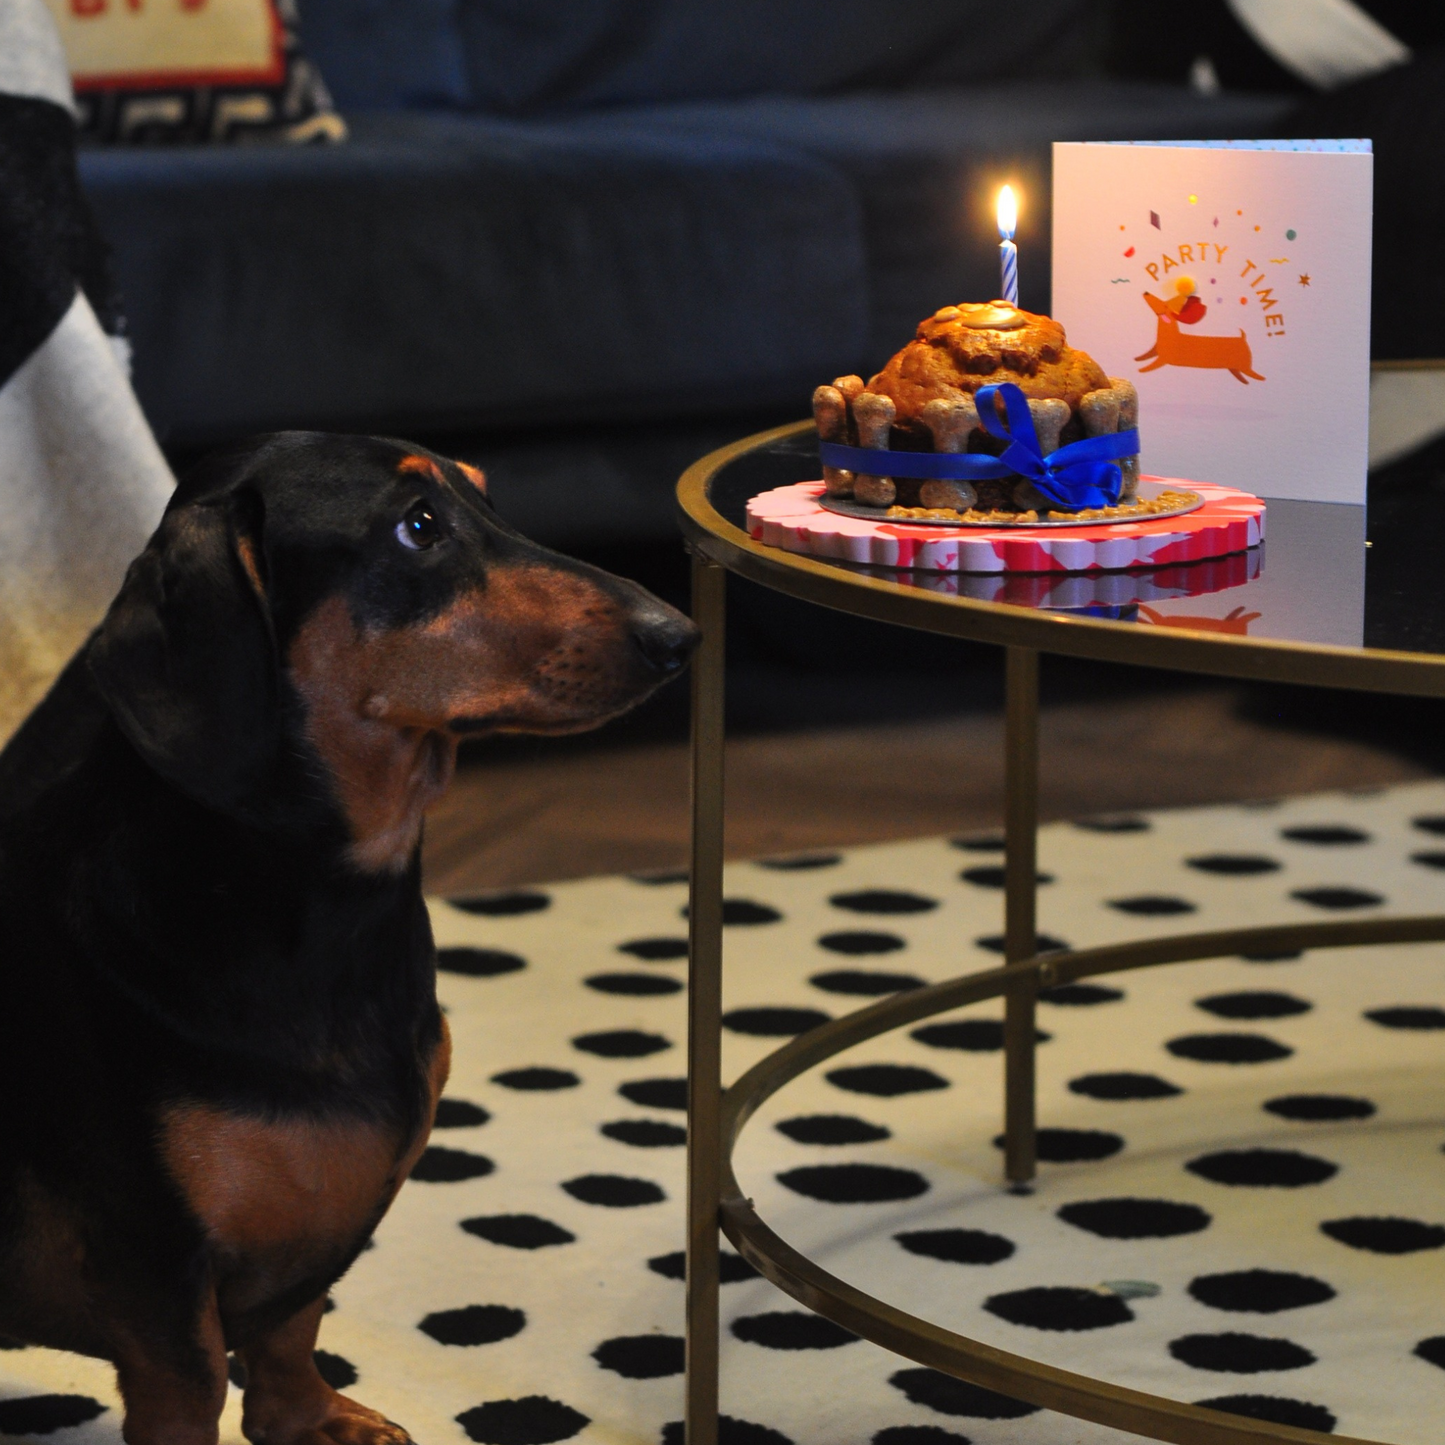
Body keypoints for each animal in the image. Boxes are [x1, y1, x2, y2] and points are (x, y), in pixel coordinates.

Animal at [0, 433, 699, 1445]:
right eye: (418, 526)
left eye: (485, 499)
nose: (679, 633)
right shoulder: (152, 1257)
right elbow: (191, 1386)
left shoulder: (327, 1225)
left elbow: (295, 1325)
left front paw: (309, 1417)